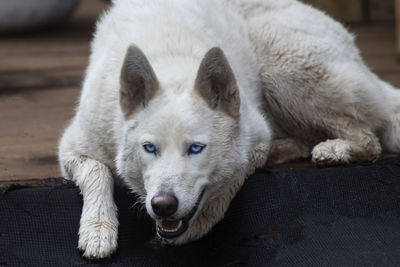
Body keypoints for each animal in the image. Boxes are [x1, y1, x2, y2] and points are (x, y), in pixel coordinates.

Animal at [59, 0, 400, 260]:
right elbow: (98, 173)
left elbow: (231, 182)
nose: (163, 205)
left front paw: (198, 225)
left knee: (369, 138)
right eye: (149, 148)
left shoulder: (254, 137)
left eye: (196, 149)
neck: (172, 68)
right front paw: (98, 230)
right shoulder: (72, 148)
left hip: (282, 68)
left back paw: (336, 149)